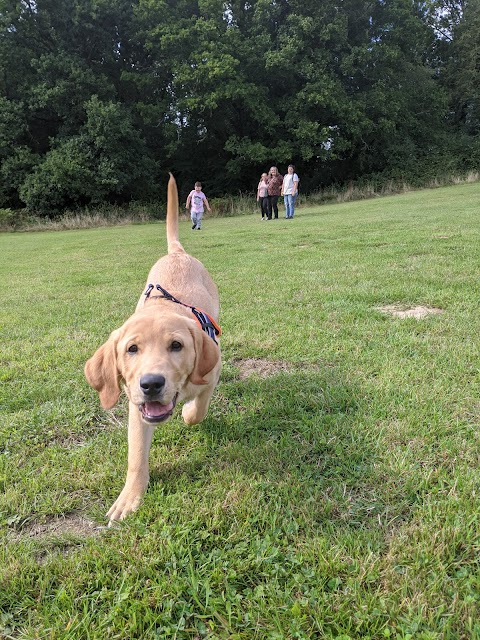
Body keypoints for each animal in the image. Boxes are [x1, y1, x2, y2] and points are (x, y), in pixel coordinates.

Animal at [85, 174, 221, 520]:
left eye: (177, 346)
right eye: (131, 349)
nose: (151, 384)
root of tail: (177, 252)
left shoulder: (211, 373)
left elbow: (197, 410)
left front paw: (188, 410)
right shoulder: (137, 408)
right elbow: (136, 456)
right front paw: (129, 498)